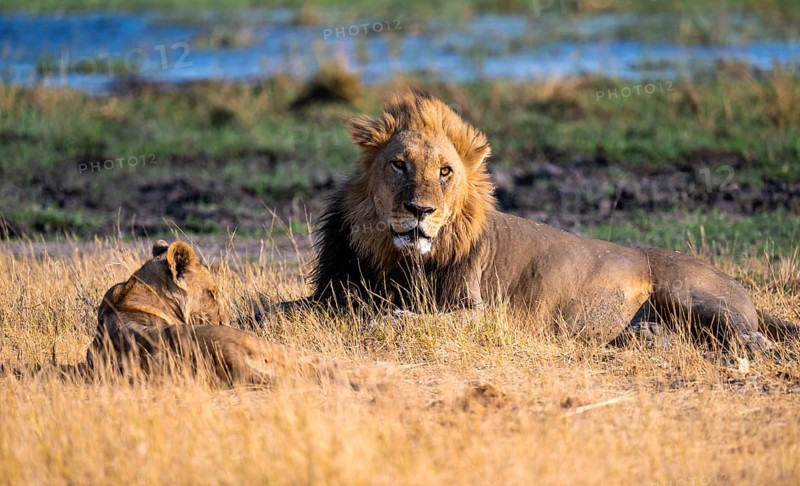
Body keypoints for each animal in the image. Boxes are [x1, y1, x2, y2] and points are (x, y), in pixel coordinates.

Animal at [276, 89, 798, 352]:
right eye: (399, 165)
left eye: (445, 172)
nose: (420, 211)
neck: (395, 258)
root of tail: (741, 287)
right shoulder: (332, 291)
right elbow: (281, 309)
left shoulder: (482, 312)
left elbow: (400, 319)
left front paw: (382, 320)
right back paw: (649, 338)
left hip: (692, 293)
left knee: (750, 336)